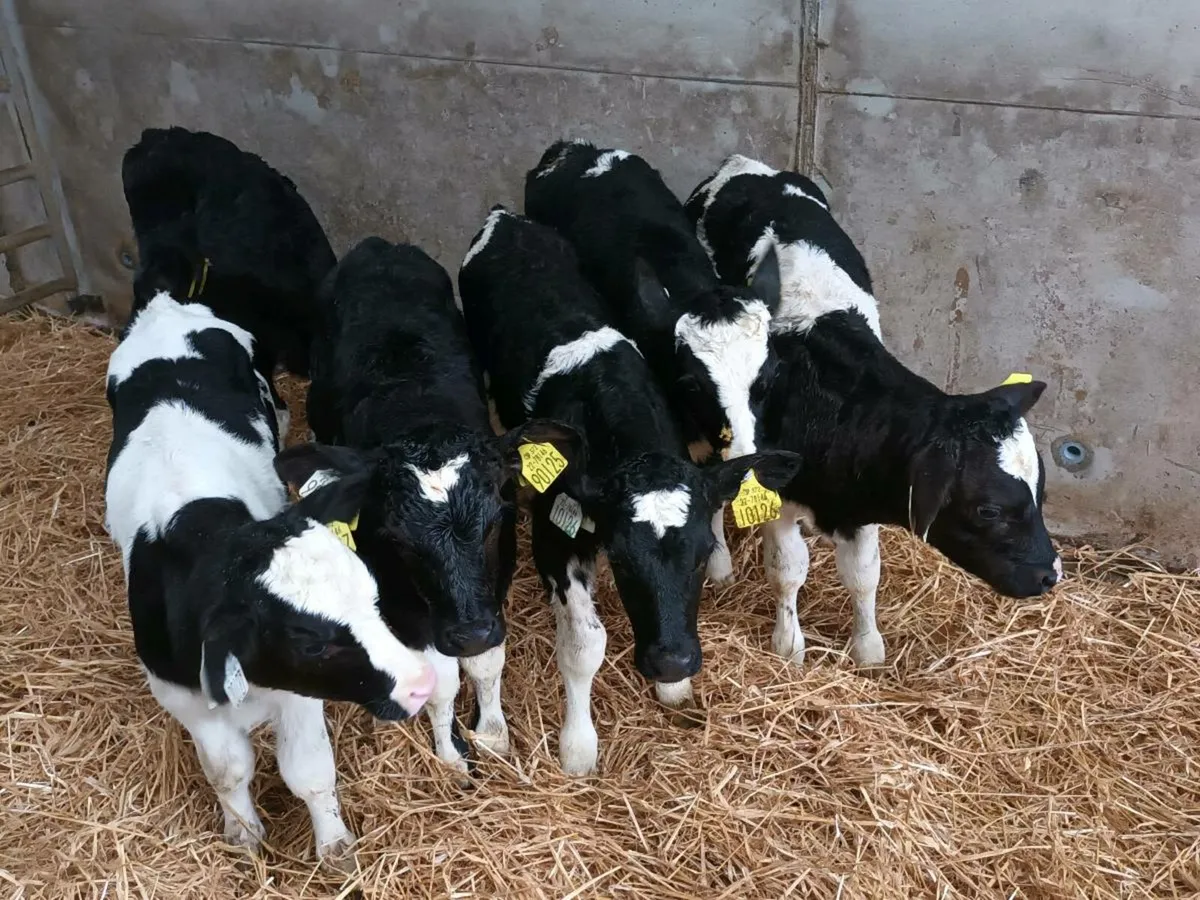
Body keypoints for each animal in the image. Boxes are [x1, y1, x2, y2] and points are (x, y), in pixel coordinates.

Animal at [104, 286, 435, 863]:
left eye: (373, 599)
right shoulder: (184, 698)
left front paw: (334, 846)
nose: (421, 685)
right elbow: (227, 771)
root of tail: (166, 307)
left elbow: (309, 772)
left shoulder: (298, 694)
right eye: (311, 643)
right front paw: (243, 835)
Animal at [303, 236, 579, 773]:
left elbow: (486, 662)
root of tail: (376, 246)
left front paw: (491, 734)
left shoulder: (493, 589)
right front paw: (452, 753)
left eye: (495, 521)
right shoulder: (404, 605)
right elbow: (442, 681)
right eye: (398, 541)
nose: (468, 631)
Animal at [458, 207, 801, 774]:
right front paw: (578, 748)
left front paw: (676, 690)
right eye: (620, 558)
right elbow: (583, 644)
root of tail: (503, 218)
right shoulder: (555, 539)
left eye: (702, 554)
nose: (672, 660)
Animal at [686, 154, 1062, 668]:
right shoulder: (773, 491)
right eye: (988, 509)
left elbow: (864, 575)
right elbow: (788, 570)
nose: (1050, 574)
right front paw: (789, 646)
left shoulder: (862, 498)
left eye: (1041, 491)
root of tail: (742, 163)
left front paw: (868, 648)